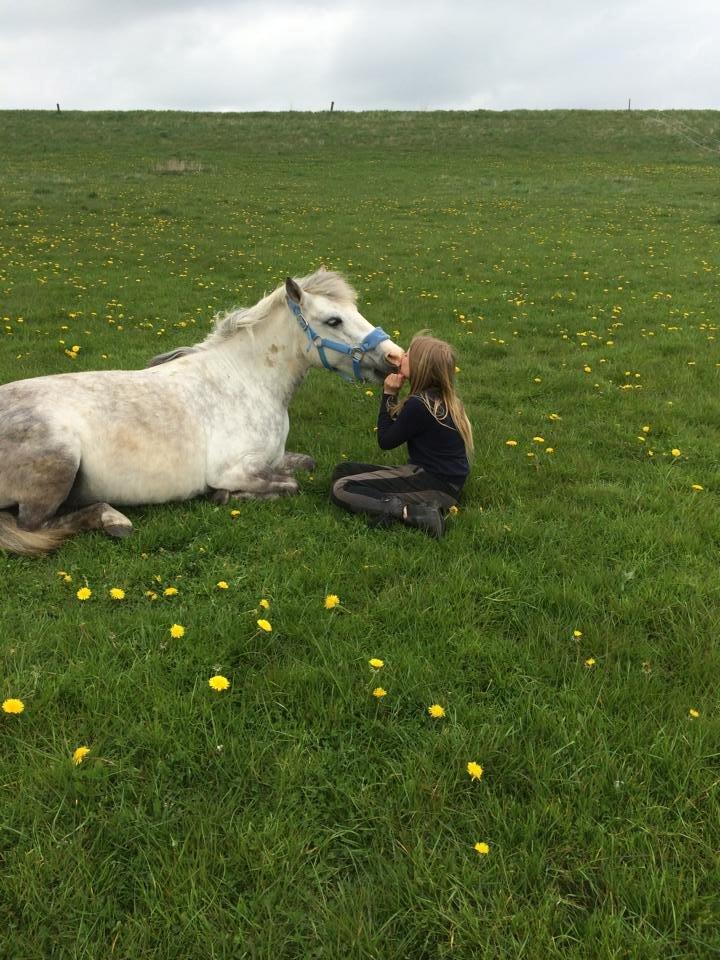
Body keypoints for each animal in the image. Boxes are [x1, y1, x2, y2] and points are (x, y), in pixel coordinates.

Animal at [0, 269, 402, 555]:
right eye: (334, 320)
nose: (394, 357)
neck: (247, 379)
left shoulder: (273, 457)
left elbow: (303, 466)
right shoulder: (234, 469)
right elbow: (289, 485)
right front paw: (224, 496)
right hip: (59, 465)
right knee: (32, 526)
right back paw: (112, 518)